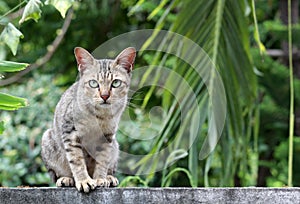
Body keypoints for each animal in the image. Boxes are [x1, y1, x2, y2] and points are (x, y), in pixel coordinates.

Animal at [41, 46, 136, 193]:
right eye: (93, 83)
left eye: (115, 83)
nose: (104, 96)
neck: (99, 116)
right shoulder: (70, 132)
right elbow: (77, 161)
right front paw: (84, 181)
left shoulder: (107, 136)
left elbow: (102, 160)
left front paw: (100, 179)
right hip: (47, 139)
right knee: (59, 173)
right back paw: (66, 179)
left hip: (115, 146)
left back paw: (109, 178)